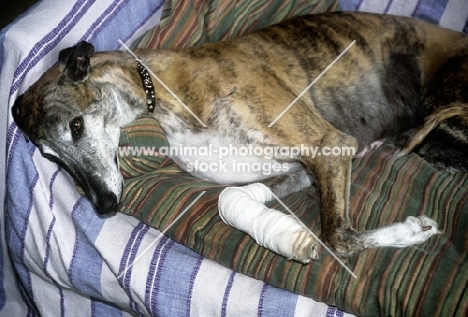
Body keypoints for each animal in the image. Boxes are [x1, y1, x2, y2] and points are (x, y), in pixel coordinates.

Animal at [11, 12, 468, 262]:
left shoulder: (327, 145)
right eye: (51, 159)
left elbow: (338, 238)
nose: (105, 207)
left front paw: (414, 230)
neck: (156, 91)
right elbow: (230, 197)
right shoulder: (299, 170)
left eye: (75, 126)